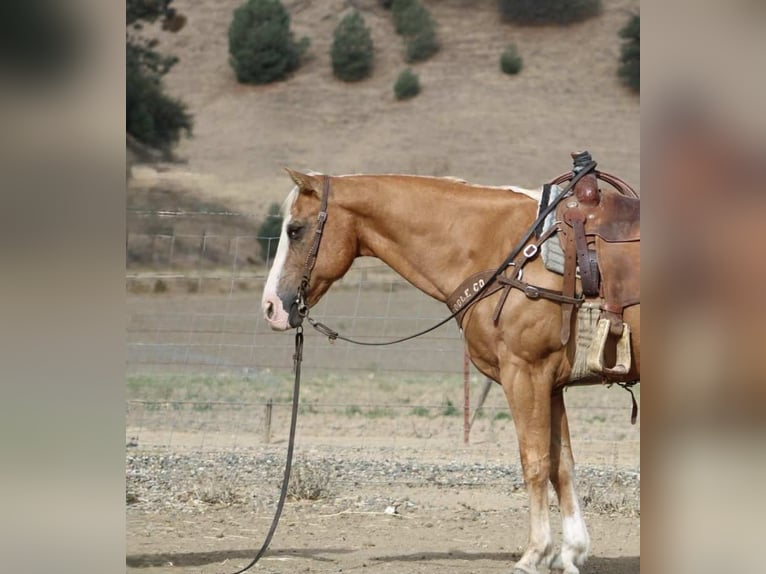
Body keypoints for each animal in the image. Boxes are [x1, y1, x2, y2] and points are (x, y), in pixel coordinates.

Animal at [261, 169, 640, 574]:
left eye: (295, 230)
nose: (271, 307)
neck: (508, 251)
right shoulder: (551, 384)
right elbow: (562, 464)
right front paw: (571, 552)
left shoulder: (526, 374)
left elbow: (535, 462)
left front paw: (535, 553)